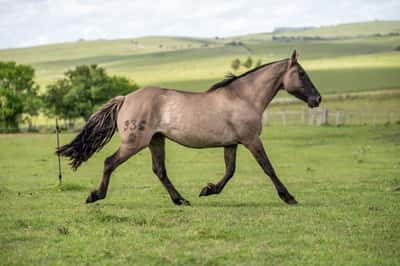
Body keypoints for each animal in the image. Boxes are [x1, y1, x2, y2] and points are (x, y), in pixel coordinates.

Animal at [57, 50, 322, 206]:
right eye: (300, 73)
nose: (317, 99)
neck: (243, 97)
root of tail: (125, 98)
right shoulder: (251, 140)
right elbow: (268, 168)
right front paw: (288, 197)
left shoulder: (232, 144)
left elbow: (230, 171)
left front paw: (208, 190)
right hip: (134, 143)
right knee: (109, 162)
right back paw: (95, 195)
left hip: (156, 140)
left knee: (160, 171)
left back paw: (181, 200)